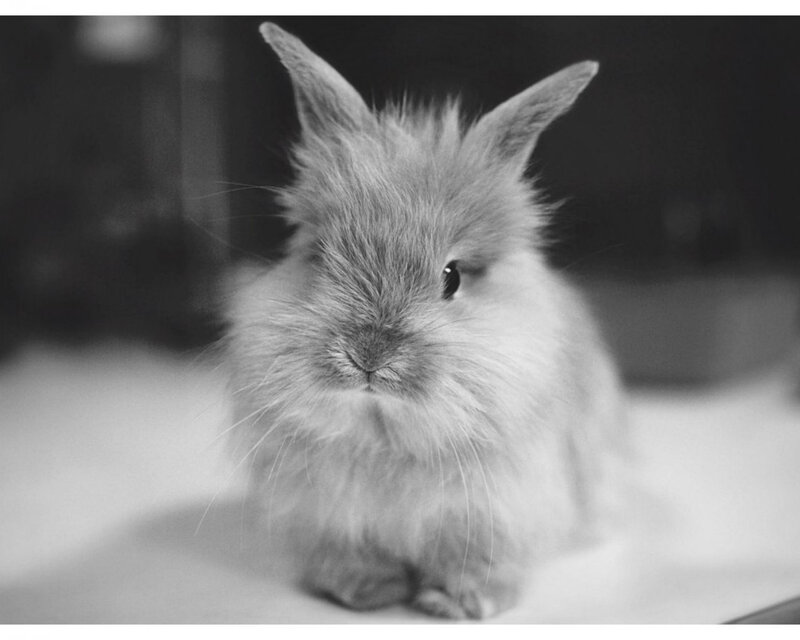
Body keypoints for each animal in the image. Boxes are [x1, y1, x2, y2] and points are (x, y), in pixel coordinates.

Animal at [223, 21, 627, 620]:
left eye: (452, 277)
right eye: (320, 257)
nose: (368, 354)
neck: (387, 428)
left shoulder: (493, 510)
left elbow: (476, 562)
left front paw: (459, 605)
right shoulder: (329, 516)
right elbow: (350, 558)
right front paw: (367, 593)